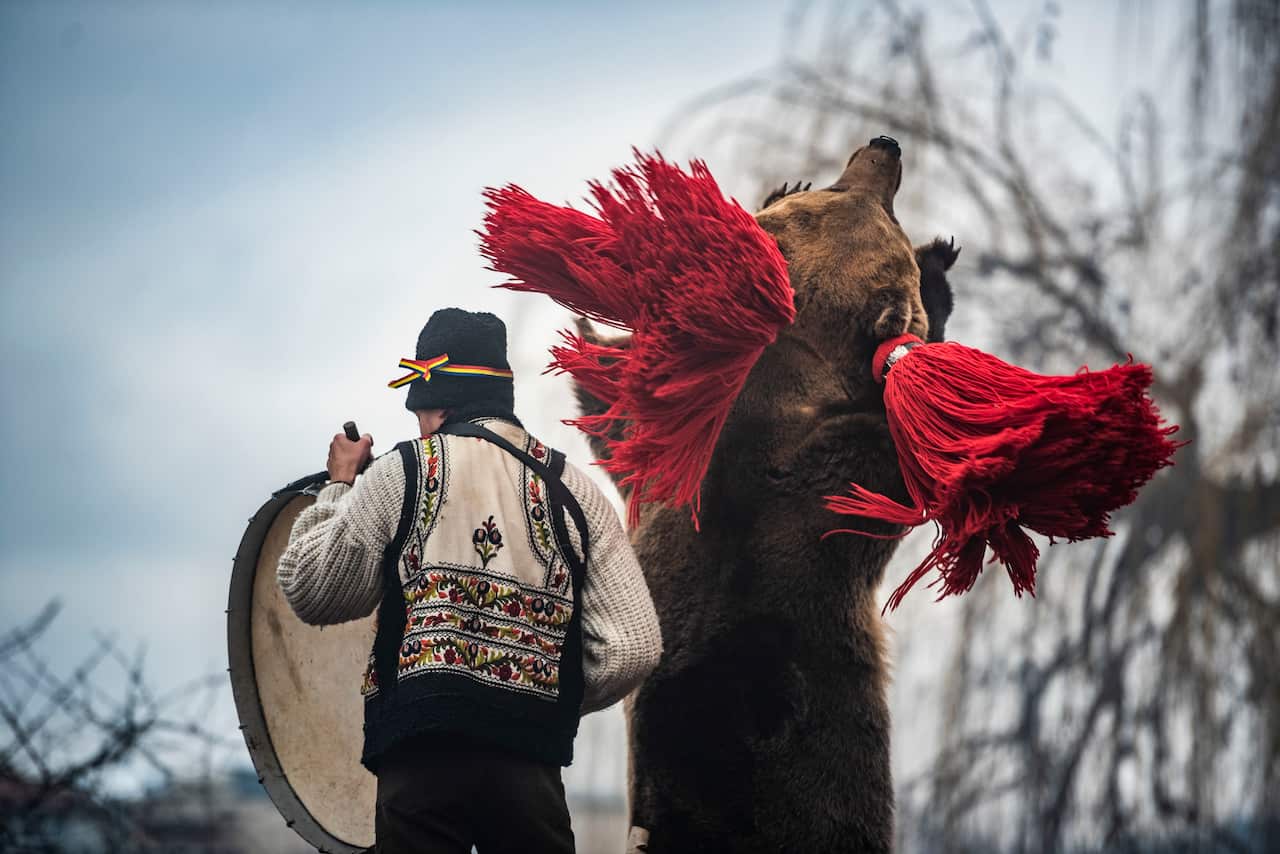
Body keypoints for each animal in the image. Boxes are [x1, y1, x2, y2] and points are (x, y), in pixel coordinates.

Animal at [576, 136, 958, 853]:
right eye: (883, 213)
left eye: (839, 187)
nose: (885, 146)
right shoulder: (832, 484)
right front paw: (940, 269)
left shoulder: (659, 456)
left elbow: (608, 404)